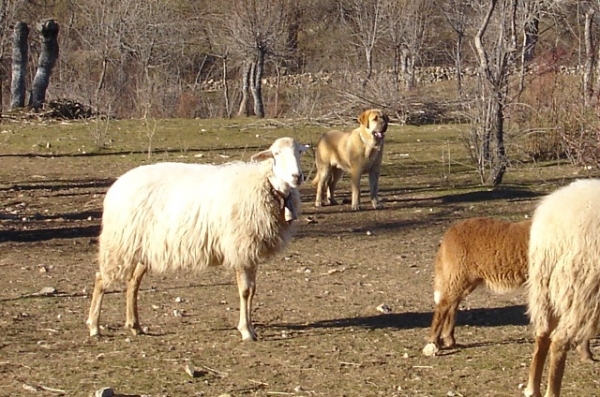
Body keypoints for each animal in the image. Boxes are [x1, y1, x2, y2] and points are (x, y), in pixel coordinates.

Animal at [84, 136, 308, 340]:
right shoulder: (239, 247)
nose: (297, 176)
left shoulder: (249, 250)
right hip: (119, 242)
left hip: (144, 246)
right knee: (101, 279)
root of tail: (117, 185)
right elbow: (245, 291)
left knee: (133, 282)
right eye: (276, 154)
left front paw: (249, 328)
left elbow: (252, 290)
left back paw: (135, 326)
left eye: (299, 152)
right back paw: (94, 326)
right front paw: (246, 330)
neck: (265, 184)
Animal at [422, 217, 596, 362]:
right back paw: (433, 342)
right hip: (458, 276)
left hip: (465, 280)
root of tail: (449, 234)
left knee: (452, 306)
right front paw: (587, 355)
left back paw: (449, 340)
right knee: (443, 305)